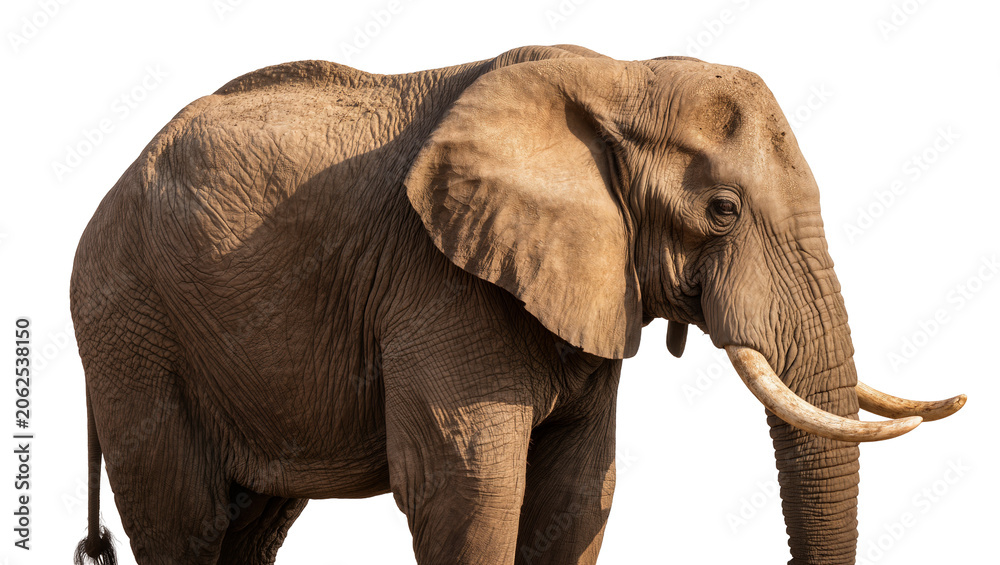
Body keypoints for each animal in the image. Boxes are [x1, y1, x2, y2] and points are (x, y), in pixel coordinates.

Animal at [70, 44, 965, 565]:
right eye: (722, 211)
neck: (617, 78)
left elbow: (577, 495)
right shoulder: (439, 285)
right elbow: (468, 490)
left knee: (252, 524)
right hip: (131, 326)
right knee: (184, 519)